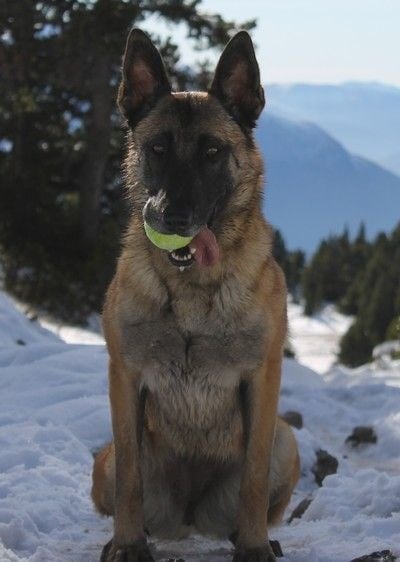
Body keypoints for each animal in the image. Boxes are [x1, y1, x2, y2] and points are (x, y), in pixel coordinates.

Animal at [91, 28, 300, 562]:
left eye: (212, 152)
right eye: (158, 148)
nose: (173, 217)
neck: (191, 290)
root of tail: (187, 520)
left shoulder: (262, 377)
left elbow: (252, 476)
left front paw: (253, 547)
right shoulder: (125, 376)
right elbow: (130, 479)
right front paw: (128, 545)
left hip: (287, 440)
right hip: (104, 458)